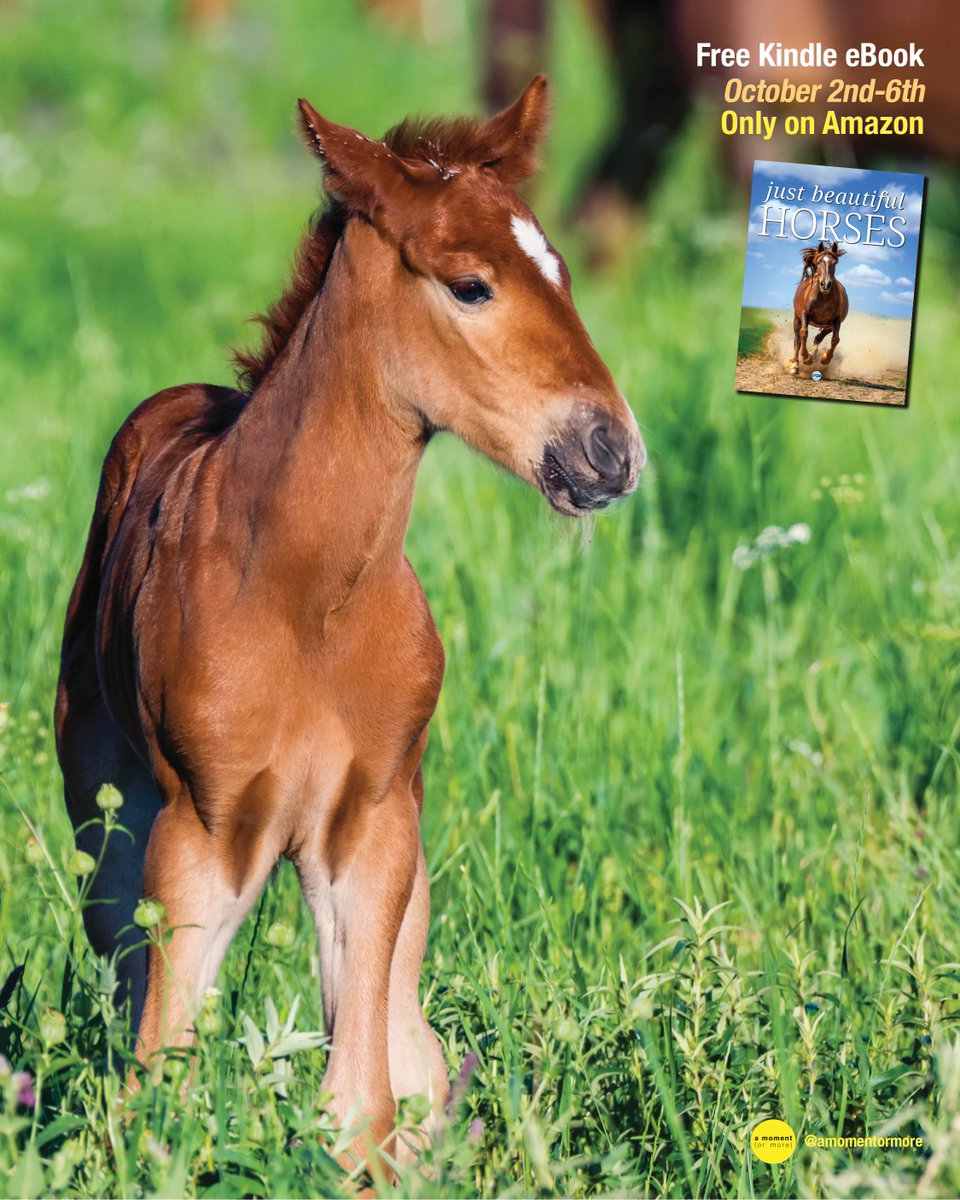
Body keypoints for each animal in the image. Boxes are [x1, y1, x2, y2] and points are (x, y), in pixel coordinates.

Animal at [53, 76, 644, 1172]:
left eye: (561, 269)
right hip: (106, 821)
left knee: (412, 1052)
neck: (307, 598)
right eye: (471, 285)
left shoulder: (368, 832)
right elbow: (161, 1075)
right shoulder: (199, 835)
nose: (609, 449)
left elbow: (361, 1102)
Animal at [788, 240, 848, 374]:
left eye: (834, 262)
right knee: (797, 341)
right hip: (797, 318)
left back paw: (813, 351)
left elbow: (835, 339)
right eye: (818, 262)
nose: (825, 285)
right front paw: (807, 359)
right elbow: (803, 333)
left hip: (828, 325)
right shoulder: (804, 314)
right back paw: (795, 364)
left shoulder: (836, 320)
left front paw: (825, 359)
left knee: (819, 337)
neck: (823, 299)